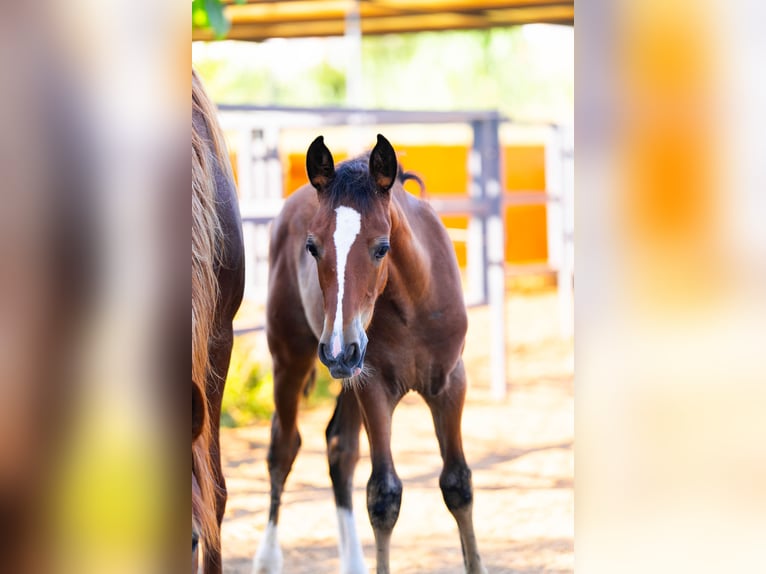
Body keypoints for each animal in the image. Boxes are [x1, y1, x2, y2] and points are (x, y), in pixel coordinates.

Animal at [253, 134, 486, 574]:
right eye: (312, 247)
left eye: (382, 248)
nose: (338, 350)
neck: (413, 304)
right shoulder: (374, 389)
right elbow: (383, 495)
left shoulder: (451, 384)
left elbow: (458, 483)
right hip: (292, 360)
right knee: (283, 448)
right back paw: (267, 559)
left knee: (339, 449)